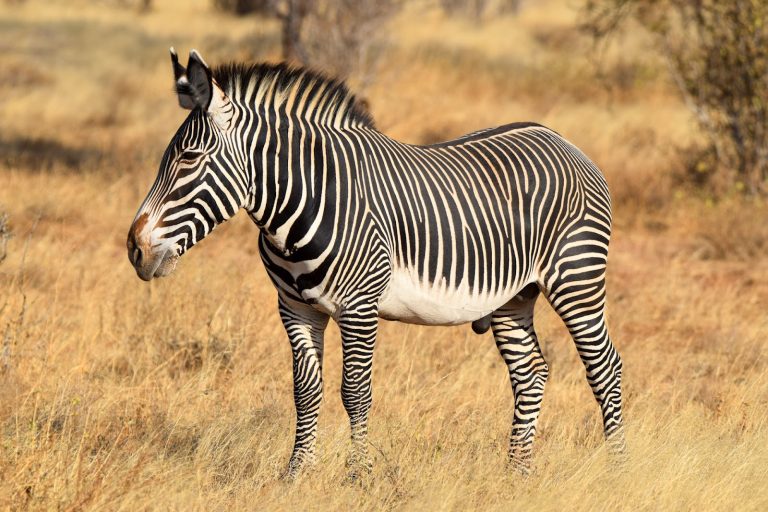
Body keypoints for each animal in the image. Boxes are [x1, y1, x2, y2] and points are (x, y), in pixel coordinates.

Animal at [127, 49, 626, 478]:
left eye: (189, 159)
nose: (135, 249)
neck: (299, 205)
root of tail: (560, 139)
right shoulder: (296, 308)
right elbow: (305, 391)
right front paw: (296, 473)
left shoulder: (359, 306)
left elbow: (355, 392)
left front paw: (357, 475)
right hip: (513, 296)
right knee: (530, 374)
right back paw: (516, 472)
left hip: (576, 279)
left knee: (605, 369)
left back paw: (614, 468)